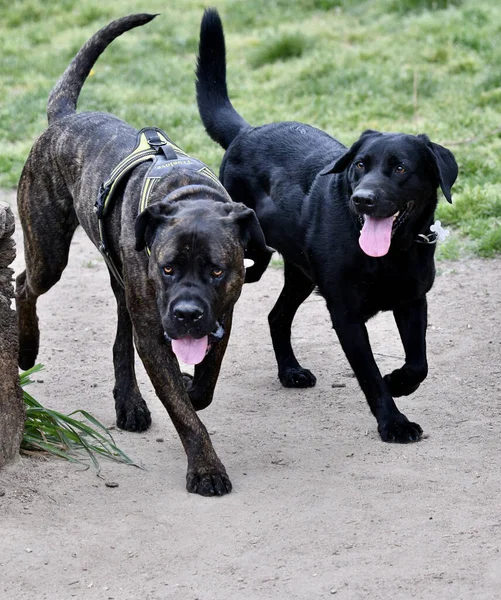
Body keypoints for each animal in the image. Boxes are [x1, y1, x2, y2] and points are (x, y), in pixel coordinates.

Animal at [16, 14, 274, 494]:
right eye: (168, 267)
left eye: (217, 271)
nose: (188, 313)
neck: (188, 194)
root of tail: (65, 117)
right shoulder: (155, 333)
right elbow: (187, 416)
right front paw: (206, 468)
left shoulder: (222, 315)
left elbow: (206, 380)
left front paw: (193, 387)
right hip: (50, 252)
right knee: (25, 284)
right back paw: (25, 348)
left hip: (122, 282)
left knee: (120, 337)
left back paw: (129, 403)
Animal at [195, 7, 458, 442]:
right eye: (359, 166)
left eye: (400, 168)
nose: (362, 199)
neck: (391, 253)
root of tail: (246, 132)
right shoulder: (346, 315)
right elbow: (370, 376)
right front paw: (394, 422)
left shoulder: (412, 300)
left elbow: (418, 362)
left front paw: (401, 382)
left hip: (301, 274)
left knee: (277, 316)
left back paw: (290, 371)